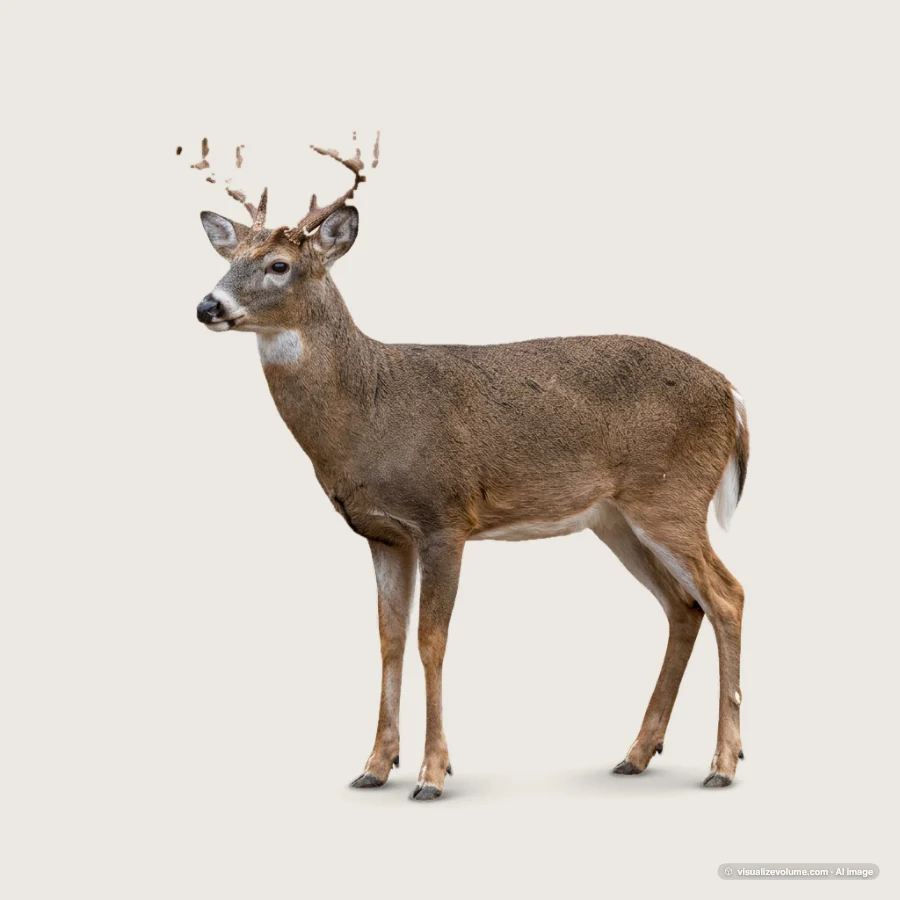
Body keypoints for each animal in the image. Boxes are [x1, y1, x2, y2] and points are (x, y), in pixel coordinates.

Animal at [185, 136, 750, 800]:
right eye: (230, 256)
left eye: (278, 265)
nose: (208, 305)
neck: (369, 411)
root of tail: (731, 392)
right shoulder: (383, 533)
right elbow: (389, 639)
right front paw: (375, 766)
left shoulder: (445, 517)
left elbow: (432, 641)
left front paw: (432, 773)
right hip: (615, 518)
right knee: (683, 606)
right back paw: (636, 754)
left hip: (672, 496)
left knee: (727, 596)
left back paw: (722, 763)